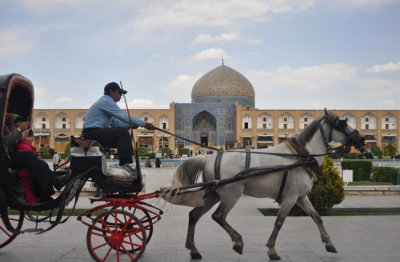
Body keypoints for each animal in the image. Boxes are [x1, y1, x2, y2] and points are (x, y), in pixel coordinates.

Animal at [162, 109, 366, 260]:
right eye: (342, 123)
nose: (362, 139)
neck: (301, 155)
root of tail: (208, 158)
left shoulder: (301, 195)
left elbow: (317, 216)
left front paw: (330, 244)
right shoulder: (291, 195)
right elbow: (279, 221)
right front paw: (272, 250)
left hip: (214, 191)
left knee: (194, 215)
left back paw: (194, 250)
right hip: (231, 193)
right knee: (218, 216)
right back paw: (238, 242)